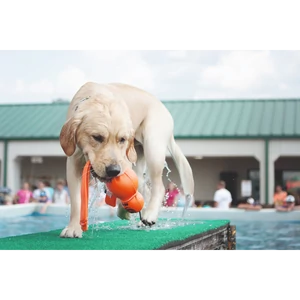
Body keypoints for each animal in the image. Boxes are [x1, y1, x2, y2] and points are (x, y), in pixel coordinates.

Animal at [59, 81, 195, 237]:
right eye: (97, 137)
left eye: (122, 139)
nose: (113, 170)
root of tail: (164, 108)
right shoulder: (73, 161)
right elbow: (76, 201)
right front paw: (73, 227)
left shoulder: (124, 162)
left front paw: (124, 209)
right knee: (145, 188)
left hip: (153, 146)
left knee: (158, 186)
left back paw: (149, 215)